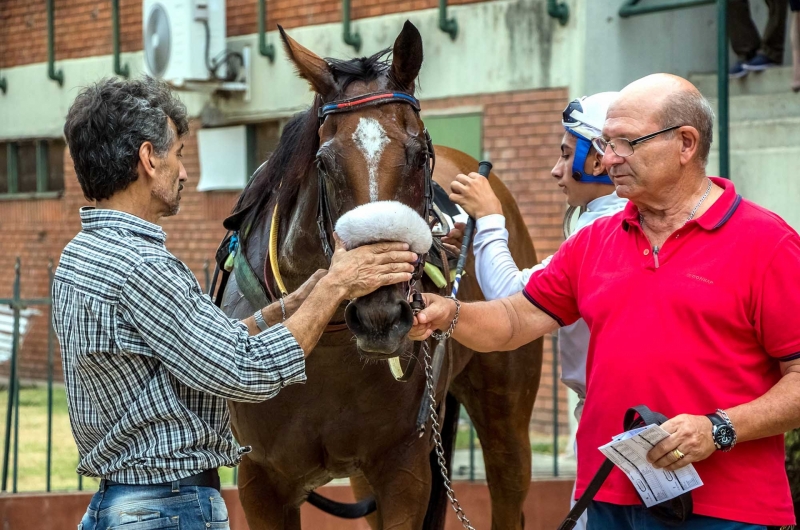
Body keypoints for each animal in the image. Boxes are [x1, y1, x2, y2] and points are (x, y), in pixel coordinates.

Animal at [219, 21, 544, 528]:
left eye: (418, 154)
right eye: (324, 161)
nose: (380, 316)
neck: (327, 346)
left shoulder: (403, 470)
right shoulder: (260, 480)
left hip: (505, 408)